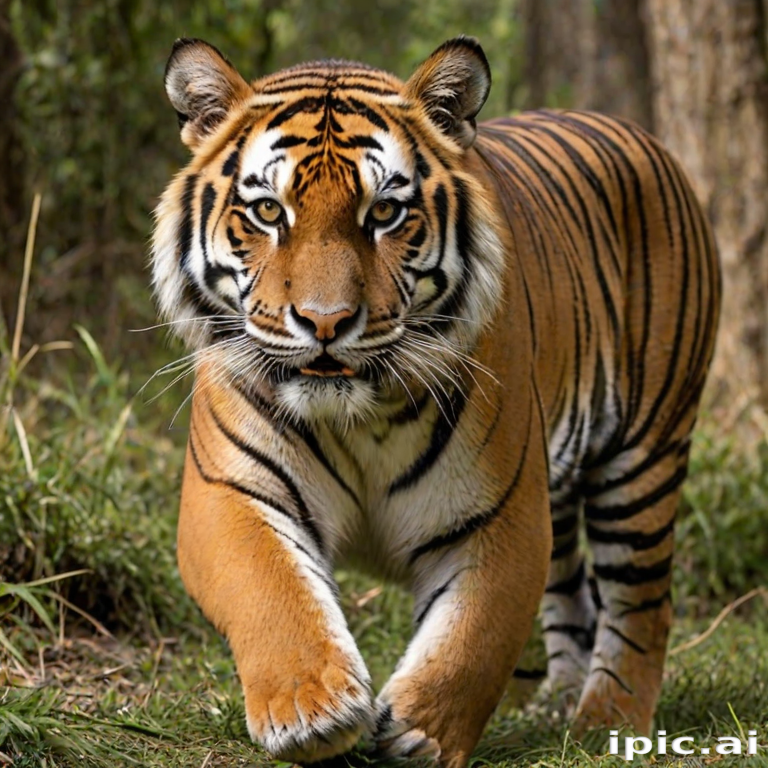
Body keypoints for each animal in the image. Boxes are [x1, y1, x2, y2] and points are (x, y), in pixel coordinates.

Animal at [151, 35, 720, 768]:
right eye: (269, 212)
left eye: (384, 213)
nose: (326, 322)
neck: (356, 415)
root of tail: (638, 134)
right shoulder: (232, 491)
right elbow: (270, 589)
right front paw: (313, 711)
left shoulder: (501, 516)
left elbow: (472, 637)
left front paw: (422, 733)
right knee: (572, 593)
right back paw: (558, 706)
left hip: (646, 454)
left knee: (642, 601)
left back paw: (605, 724)